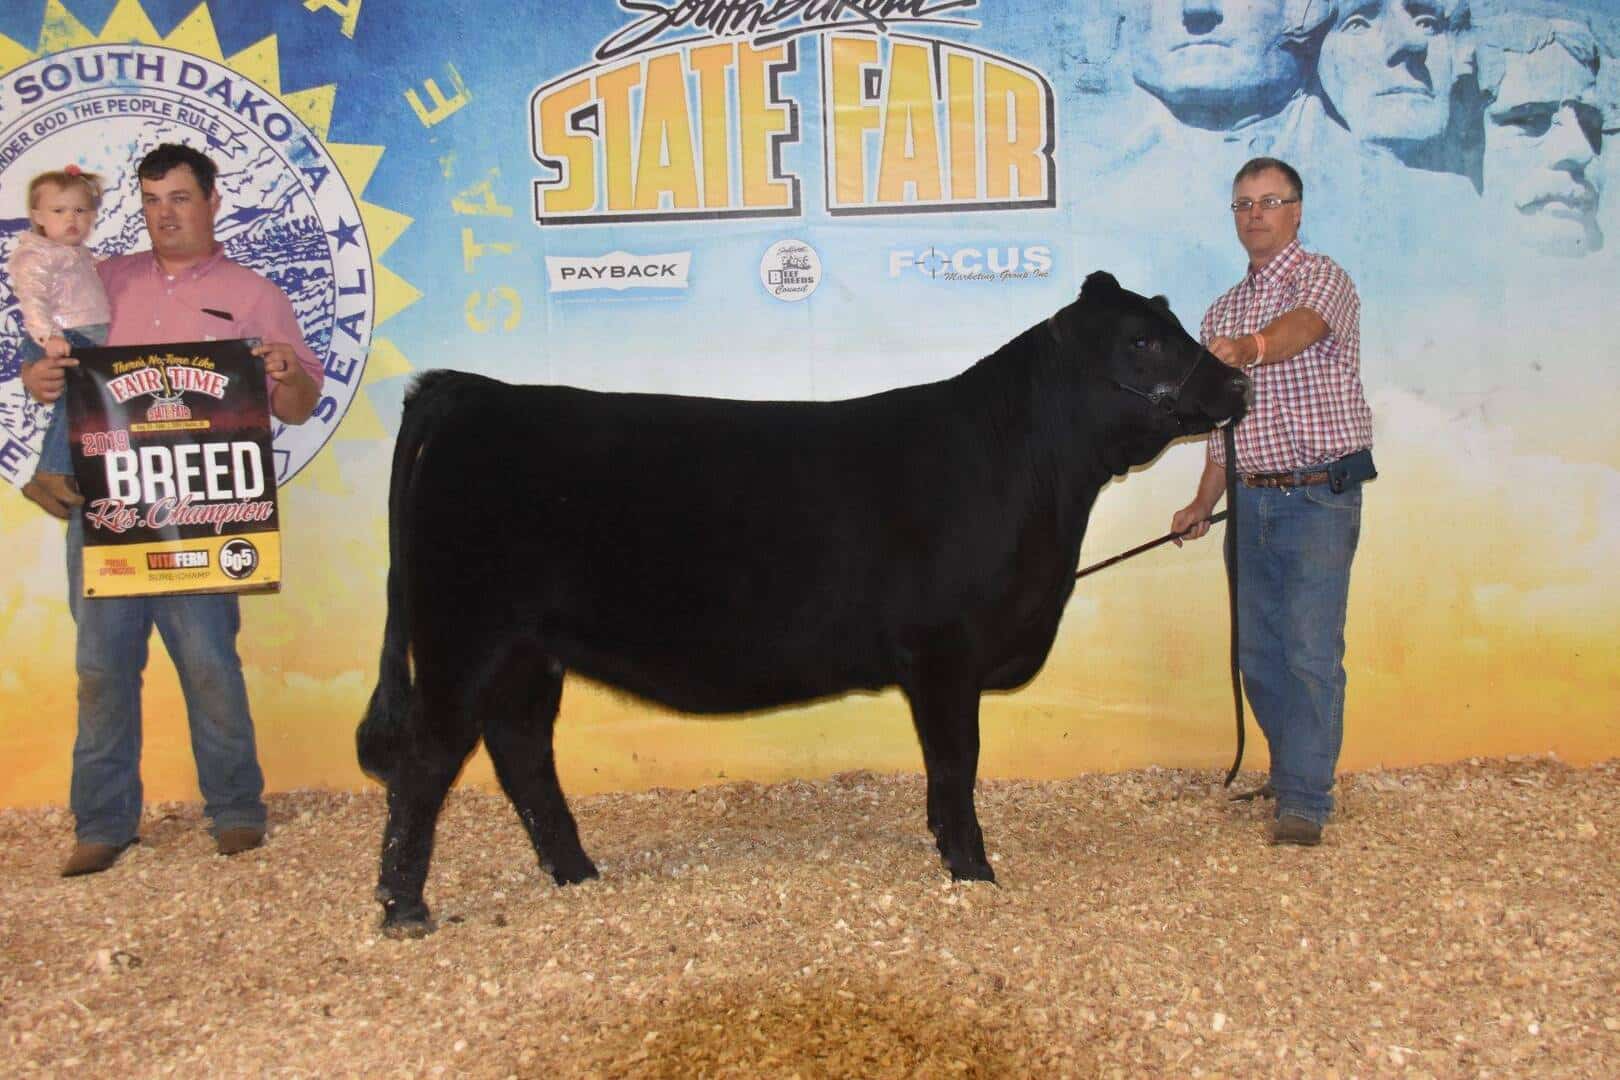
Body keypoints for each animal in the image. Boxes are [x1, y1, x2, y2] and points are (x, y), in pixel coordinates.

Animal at [357, 270, 1250, 936]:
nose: (1239, 380)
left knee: (520, 750)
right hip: (463, 637)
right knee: (426, 762)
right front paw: (972, 867)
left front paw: (954, 855)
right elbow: (956, 761)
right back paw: (404, 909)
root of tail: (473, 392)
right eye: (1142, 340)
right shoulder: (944, 650)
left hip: (528, 650)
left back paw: (576, 873)